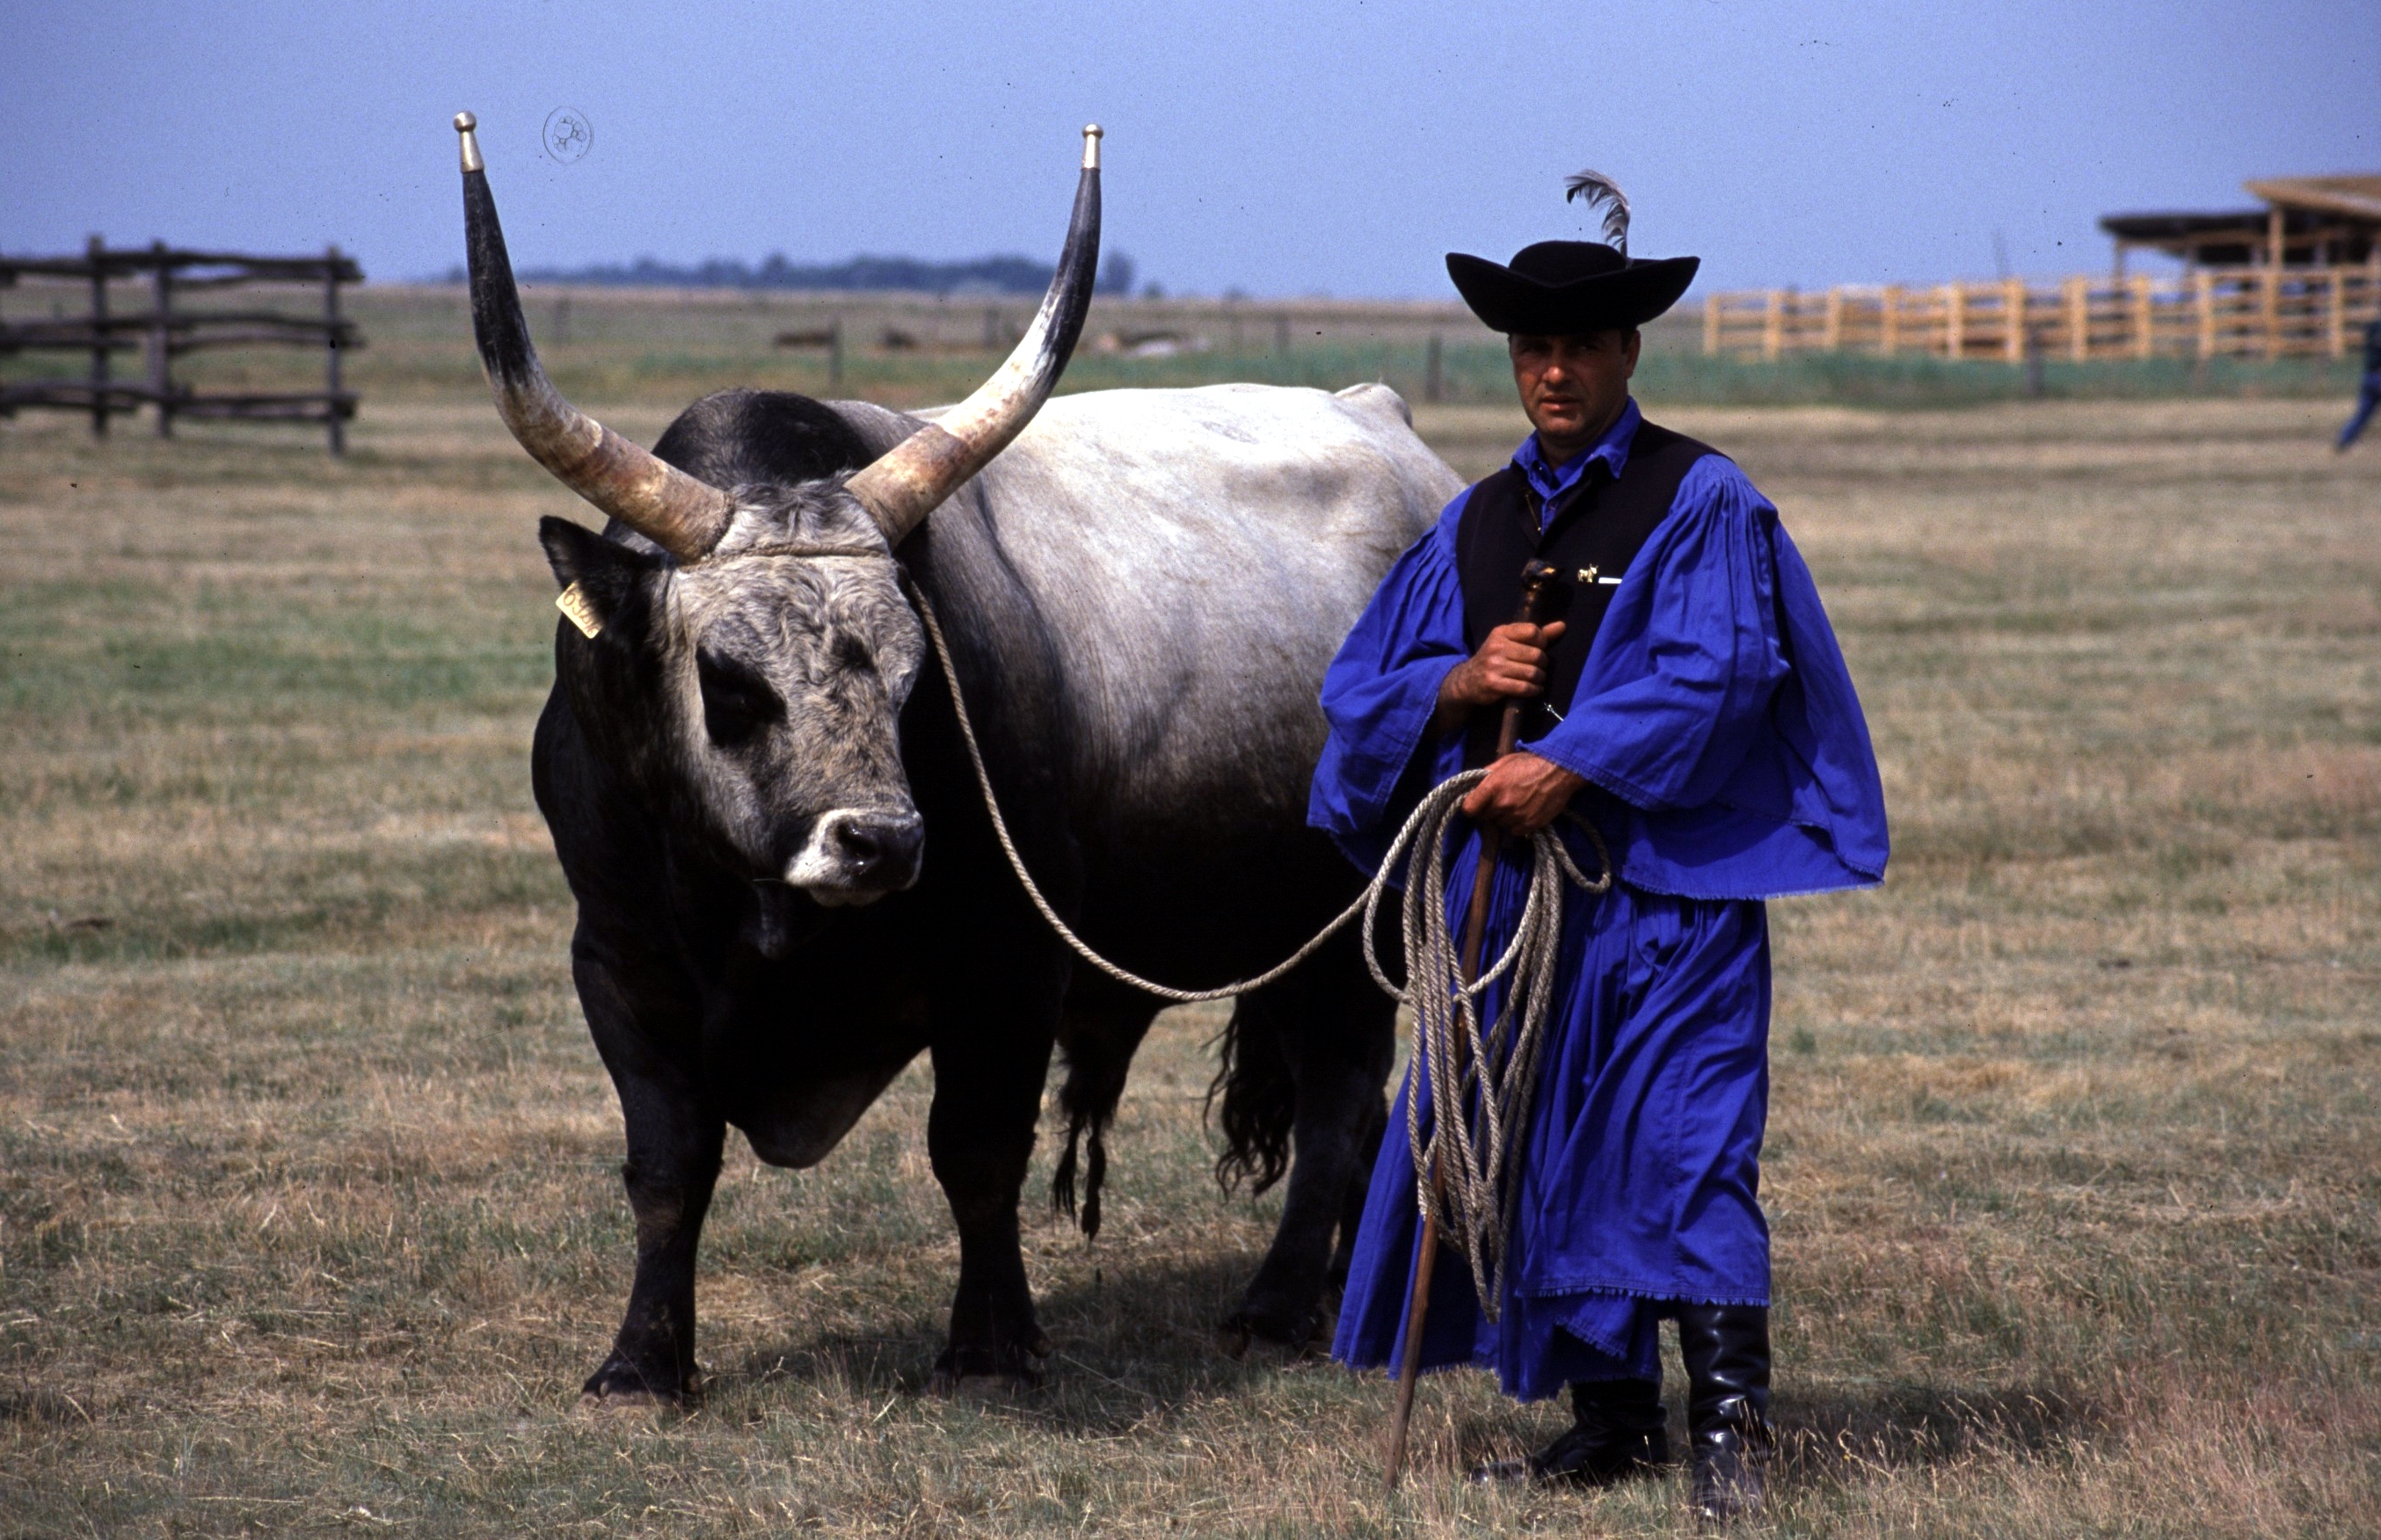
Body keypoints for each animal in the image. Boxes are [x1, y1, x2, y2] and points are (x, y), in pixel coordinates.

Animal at [445, 113, 1447, 1399]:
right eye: (728, 679)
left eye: (917, 676)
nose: (878, 843)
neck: (763, 919)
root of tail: (1387, 423)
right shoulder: (617, 960)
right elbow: (668, 1166)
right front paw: (641, 1361)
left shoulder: (1009, 963)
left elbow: (975, 1151)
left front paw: (990, 1343)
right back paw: (1327, 1290)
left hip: (1366, 916)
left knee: (1340, 1096)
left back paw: (1275, 1305)